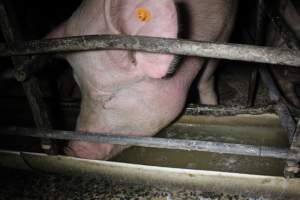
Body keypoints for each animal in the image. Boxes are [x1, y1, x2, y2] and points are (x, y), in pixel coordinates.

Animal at [47, 0, 237, 159]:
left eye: (109, 98)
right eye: (80, 88)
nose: (71, 150)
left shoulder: (226, 28)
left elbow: (207, 77)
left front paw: (212, 106)